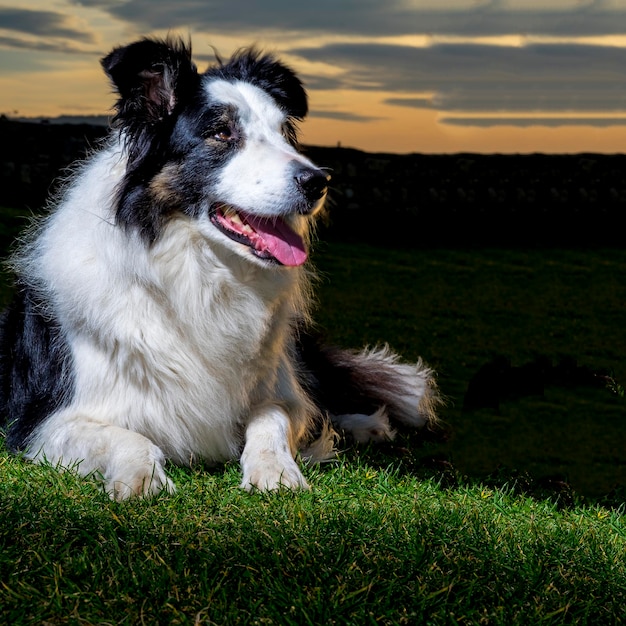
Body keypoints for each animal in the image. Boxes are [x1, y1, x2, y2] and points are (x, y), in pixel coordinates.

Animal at [0, 39, 438, 498]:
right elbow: (126, 436)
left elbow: (273, 417)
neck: (198, 274)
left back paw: (367, 424)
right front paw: (141, 478)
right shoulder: (41, 421)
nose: (319, 181)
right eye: (221, 133)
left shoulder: (278, 391)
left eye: (284, 132)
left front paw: (276, 470)